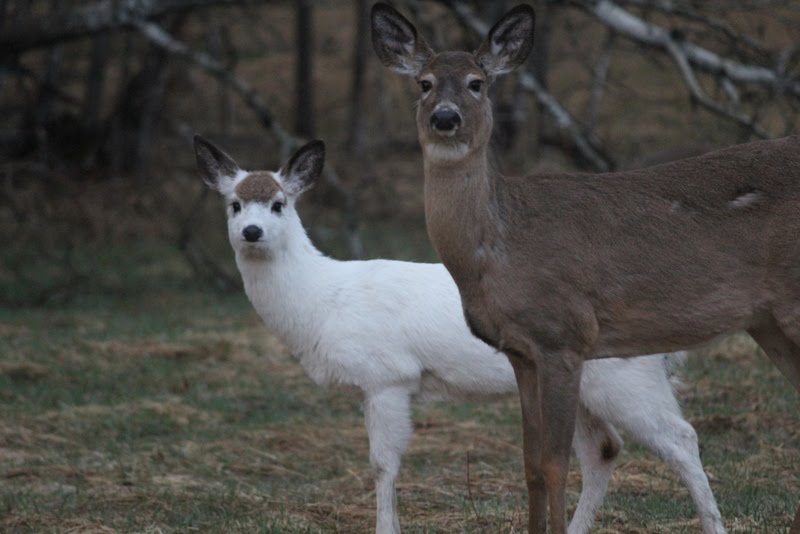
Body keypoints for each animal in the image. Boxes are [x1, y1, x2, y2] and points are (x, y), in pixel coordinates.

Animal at [193, 136, 726, 534]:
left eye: (279, 203)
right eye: (234, 204)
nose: (253, 232)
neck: (323, 300)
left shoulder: (387, 376)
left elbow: (382, 464)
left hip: (625, 379)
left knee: (680, 437)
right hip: (581, 383)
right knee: (604, 450)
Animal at [371, 3, 800, 533]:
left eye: (477, 83)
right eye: (424, 83)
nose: (445, 118)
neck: (499, 250)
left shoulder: (563, 335)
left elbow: (556, 463)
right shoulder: (520, 351)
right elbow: (531, 464)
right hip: (768, 322)